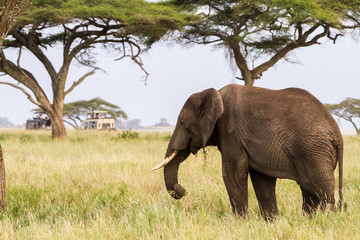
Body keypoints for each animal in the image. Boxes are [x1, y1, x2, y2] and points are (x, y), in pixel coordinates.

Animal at [152, 84, 344, 219]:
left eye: (182, 123)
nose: (180, 189)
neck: (215, 93)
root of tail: (337, 132)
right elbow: (261, 180)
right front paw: (271, 222)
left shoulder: (231, 132)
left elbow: (233, 173)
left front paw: (240, 222)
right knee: (310, 191)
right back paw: (308, 220)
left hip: (312, 151)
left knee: (320, 189)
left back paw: (328, 220)